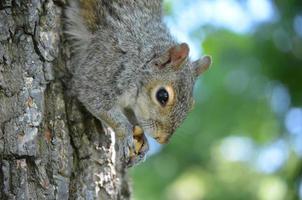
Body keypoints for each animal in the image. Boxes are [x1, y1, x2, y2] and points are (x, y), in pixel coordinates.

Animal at [65, 0, 211, 166]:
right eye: (163, 96)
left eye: (192, 105)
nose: (163, 139)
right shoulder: (104, 66)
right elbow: (94, 99)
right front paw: (125, 135)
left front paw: (144, 143)